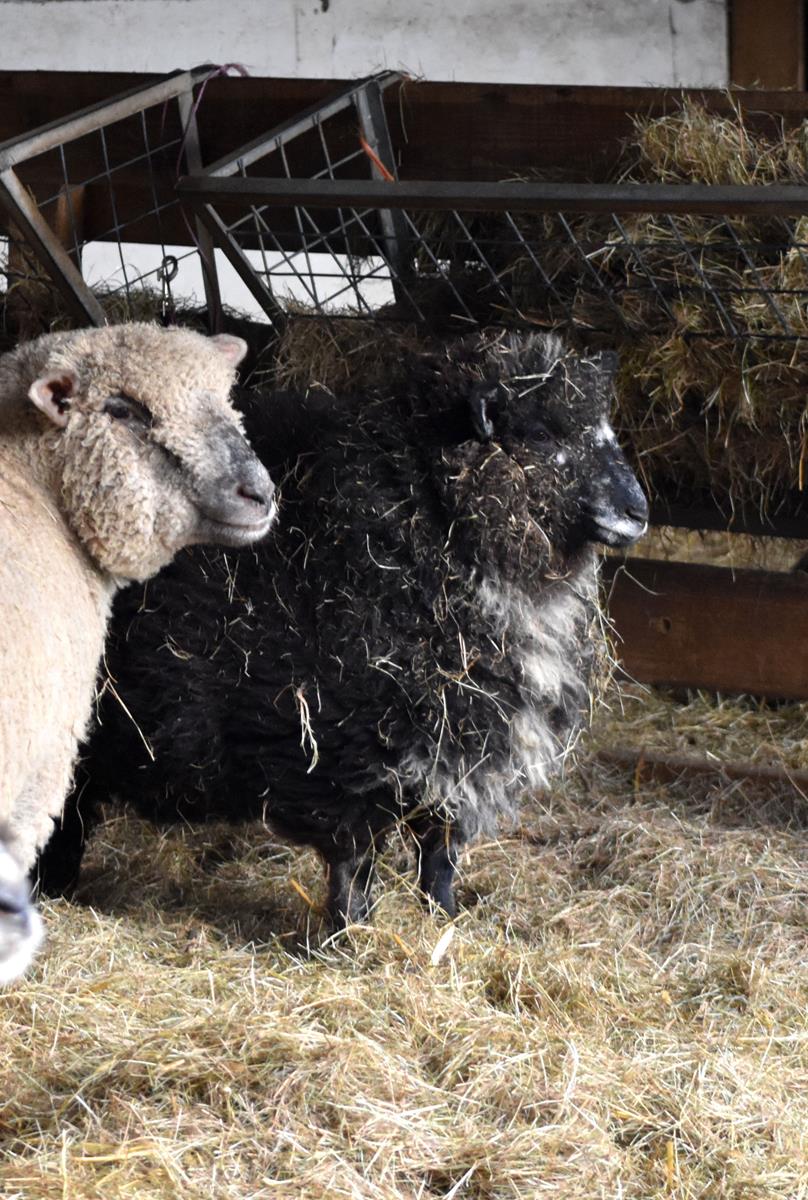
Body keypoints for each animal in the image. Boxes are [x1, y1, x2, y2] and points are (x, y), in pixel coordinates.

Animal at [39, 333, 648, 921]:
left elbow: (440, 852)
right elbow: (355, 859)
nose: (638, 512)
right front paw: (350, 933)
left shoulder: (461, 747)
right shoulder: (340, 747)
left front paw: (445, 920)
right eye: (542, 434)